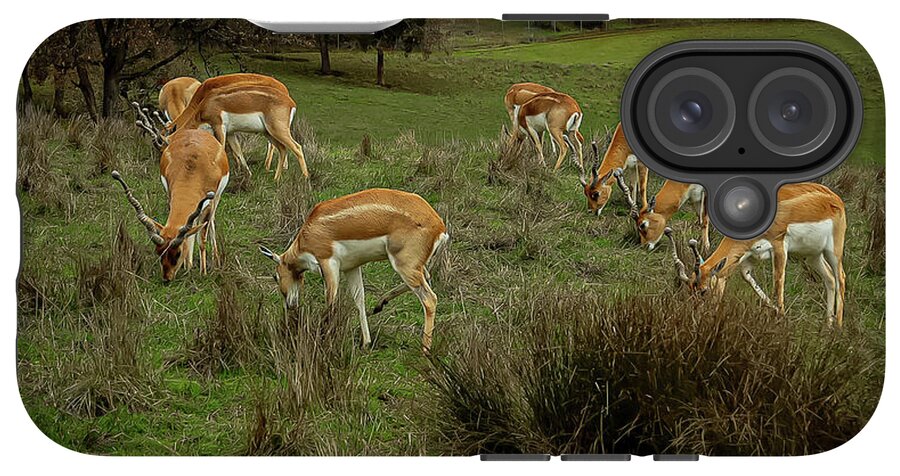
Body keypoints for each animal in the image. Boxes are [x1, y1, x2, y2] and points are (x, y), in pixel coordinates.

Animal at [112, 118, 229, 281]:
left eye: (177, 253)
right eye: (159, 251)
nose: (167, 278)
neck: (192, 169)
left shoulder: (208, 203)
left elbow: (201, 239)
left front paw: (203, 272)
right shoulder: (171, 195)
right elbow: (188, 233)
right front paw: (188, 267)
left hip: (216, 198)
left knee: (211, 222)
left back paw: (216, 259)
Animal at [166, 73, 306, 181]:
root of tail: (291, 102)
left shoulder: (219, 126)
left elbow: (221, 149)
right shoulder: (231, 133)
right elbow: (237, 150)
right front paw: (246, 173)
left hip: (277, 130)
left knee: (296, 147)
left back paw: (304, 178)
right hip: (269, 132)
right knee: (282, 148)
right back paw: (276, 178)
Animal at [258, 188, 449, 353]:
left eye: (275, 276)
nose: (290, 305)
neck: (308, 233)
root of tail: (439, 226)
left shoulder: (328, 264)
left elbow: (331, 301)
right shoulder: (351, 268)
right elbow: (359, 299)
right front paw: (366, 342)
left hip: (404, 265)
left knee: (430, 299)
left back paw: (425, 349)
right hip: (413, 266)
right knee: (426, 277)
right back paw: (379, 305)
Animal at [664, 182, 846, 327]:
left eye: (703, 291)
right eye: (689, 289)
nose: (696, 316)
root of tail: (835, 199)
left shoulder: (779, 245)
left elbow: (778, 281)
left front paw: (781, 317)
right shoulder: (749, 255)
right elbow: (748, 278)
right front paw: (775, 310)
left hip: (833, 251)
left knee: (841, 278)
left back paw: (838, 327)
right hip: (812, 255)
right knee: (830, 278)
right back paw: (828, 324)